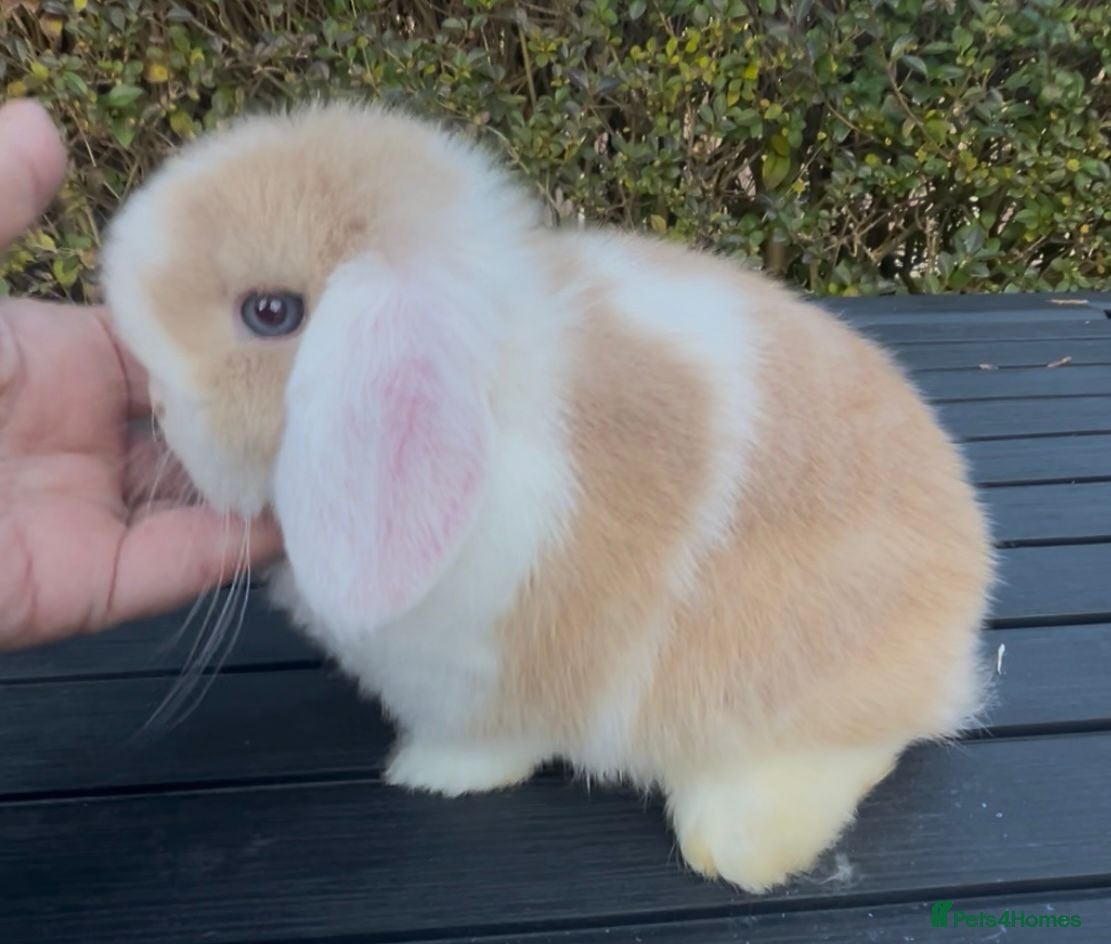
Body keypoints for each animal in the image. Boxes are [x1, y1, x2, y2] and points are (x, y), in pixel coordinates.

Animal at [100, 100, 995, 894]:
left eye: (270, 312)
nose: (158, 408)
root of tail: (963, 607)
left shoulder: (478, 677)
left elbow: (485, 739)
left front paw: (429, 776)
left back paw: (732, 840)